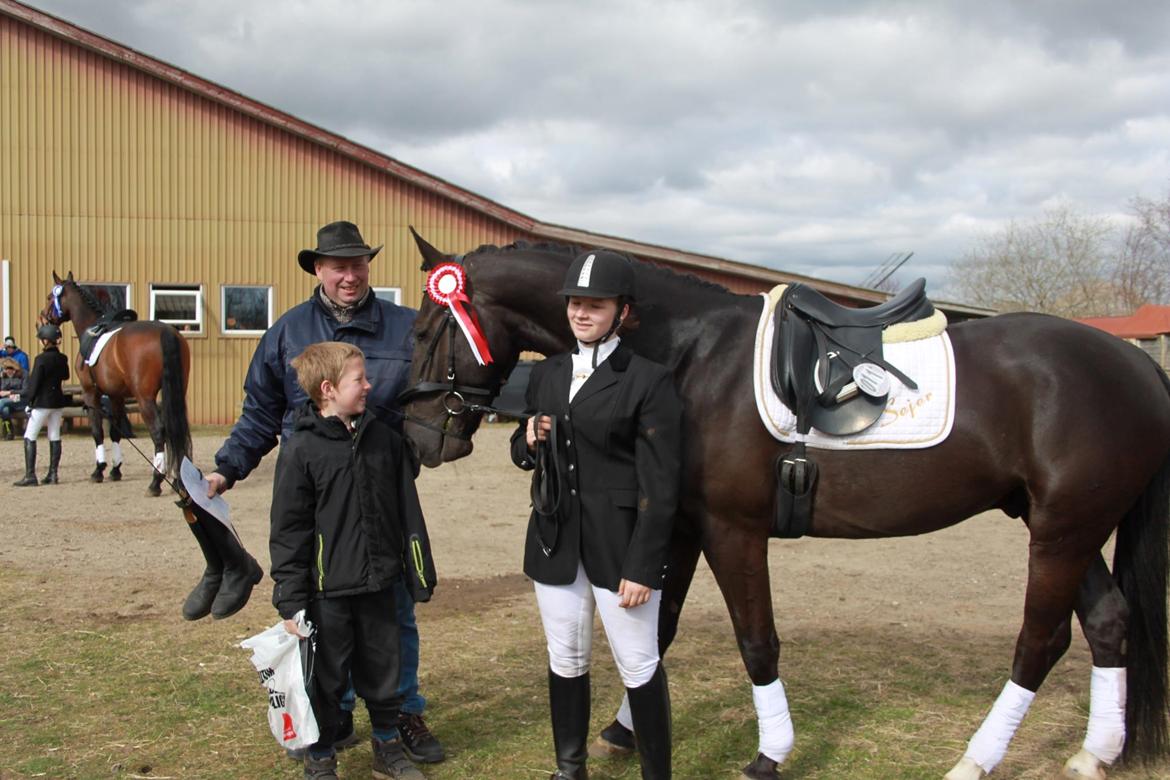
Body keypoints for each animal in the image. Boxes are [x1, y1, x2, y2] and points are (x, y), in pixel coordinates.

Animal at [42, 271, 190, 498]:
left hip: (145, 399)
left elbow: (97, 431)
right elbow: (116, 431)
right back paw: (179, 481)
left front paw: (99, 470)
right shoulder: (116, 396)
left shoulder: (90, 393)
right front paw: (115, 470)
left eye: (51, 296)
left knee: (158, 432)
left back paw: (156, 482)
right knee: (176, 431)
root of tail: (167, 331)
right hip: (175, 394)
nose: (43, 316)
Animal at [400, 233, 1170, 780]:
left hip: (1062, 533)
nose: (419, 437)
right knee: (1107, 622)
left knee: (1041, 640)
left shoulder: (732, 531)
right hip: (1062, 526)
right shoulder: (677, 525)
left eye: (426, 332)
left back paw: (974, 761)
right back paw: (1094, 753)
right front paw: (623, 730)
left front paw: (771, 754)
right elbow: (660, 630)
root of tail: (1137, 363)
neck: (687, 354)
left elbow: (756, 640)